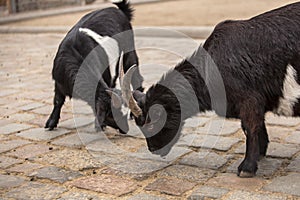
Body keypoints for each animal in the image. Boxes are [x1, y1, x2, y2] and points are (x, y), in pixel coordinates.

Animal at [44, 0, 143, 134]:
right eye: (112, 115)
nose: (125, 130)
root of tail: (120, 11)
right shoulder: (59, 82)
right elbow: (58, 101)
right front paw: (51, 123)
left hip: (129, 52)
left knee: (136, 76)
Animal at [124, 2, 300, 177]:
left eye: (151, 125)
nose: (153, 149)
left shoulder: (249, 100)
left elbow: (250, 127)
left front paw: (247, 167)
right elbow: (255, 126)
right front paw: (261, 153)